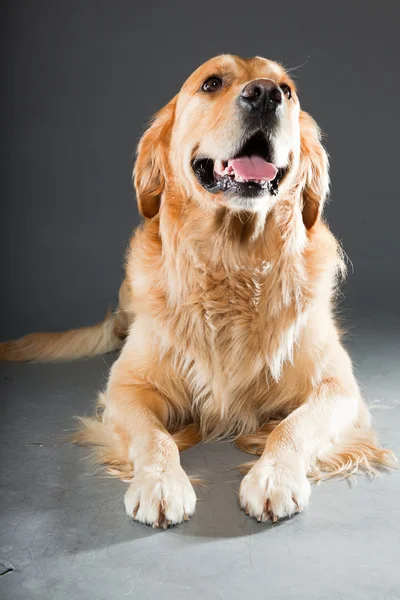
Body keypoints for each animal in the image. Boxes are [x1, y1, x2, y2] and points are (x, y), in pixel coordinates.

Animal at [0, 55, 396, 524]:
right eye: (211, 83)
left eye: (287, 89)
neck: (232, 264)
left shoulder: (337, 387)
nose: (266, 94)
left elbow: (292, 426)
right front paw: (160, 483)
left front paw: (274, 478)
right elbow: (153, 435)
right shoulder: (126, 387)